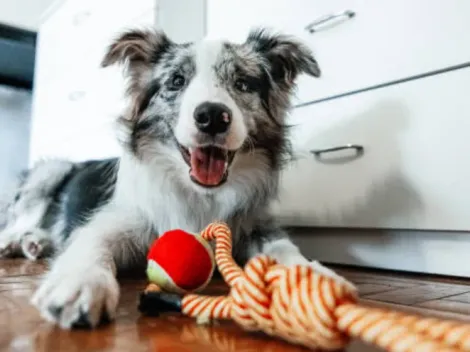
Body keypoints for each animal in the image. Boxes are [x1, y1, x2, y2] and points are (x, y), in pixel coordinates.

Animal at [0, 27, 350, 330]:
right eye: (177, 80)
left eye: (242, 83)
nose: (213, 116)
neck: (199, 194)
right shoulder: (116, 219)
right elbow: (92, 242)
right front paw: (80, 283)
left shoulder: (254, 223)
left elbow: (283, 246)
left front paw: (313, 279)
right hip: (51, 170)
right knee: (20, 220)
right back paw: (17, 241)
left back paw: (36, 242)